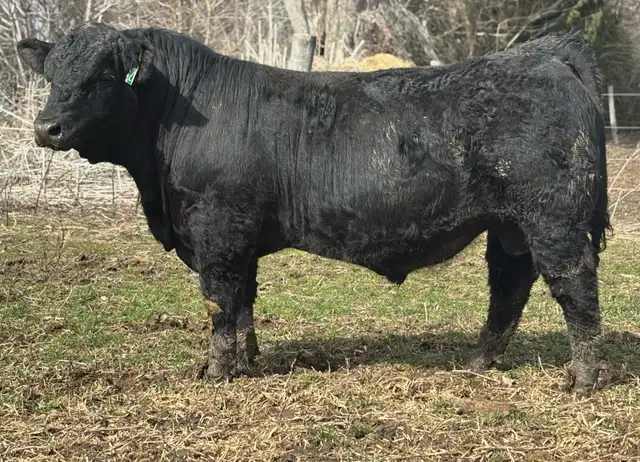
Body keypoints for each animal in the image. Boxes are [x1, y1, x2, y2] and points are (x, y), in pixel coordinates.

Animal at [17, 23, 610, 393]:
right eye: (51, 76)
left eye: (101, 77)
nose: (47, 128)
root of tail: (544, 54)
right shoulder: (239, 239)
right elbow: (243, 302)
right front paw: (247, 359)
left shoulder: (217, 230)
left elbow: (218, 302)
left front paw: (215, 372)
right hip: (509, 226)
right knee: (509, 289)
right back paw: (479, 362)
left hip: (553, 219)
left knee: (575, 289)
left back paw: (582, 379)